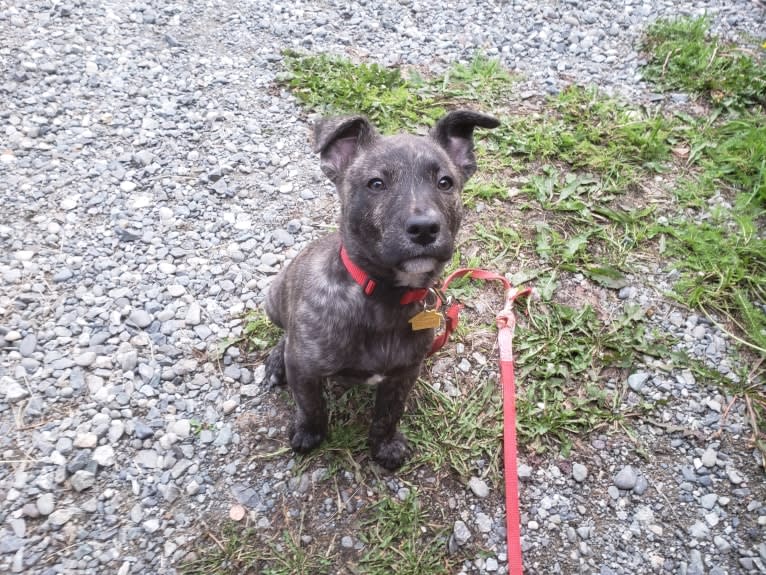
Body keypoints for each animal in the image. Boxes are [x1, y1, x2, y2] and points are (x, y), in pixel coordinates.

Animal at [264, 110, 500, 470]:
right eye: (376, 184)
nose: (424, 228)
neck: (382, 297)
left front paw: (385, 445)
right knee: (285, 334)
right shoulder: (304, 370)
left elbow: (389, 412)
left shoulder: (403, 374)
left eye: (445, 183)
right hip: (274, 298)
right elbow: (311, 404)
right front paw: (309, 433)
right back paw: (278, 360)